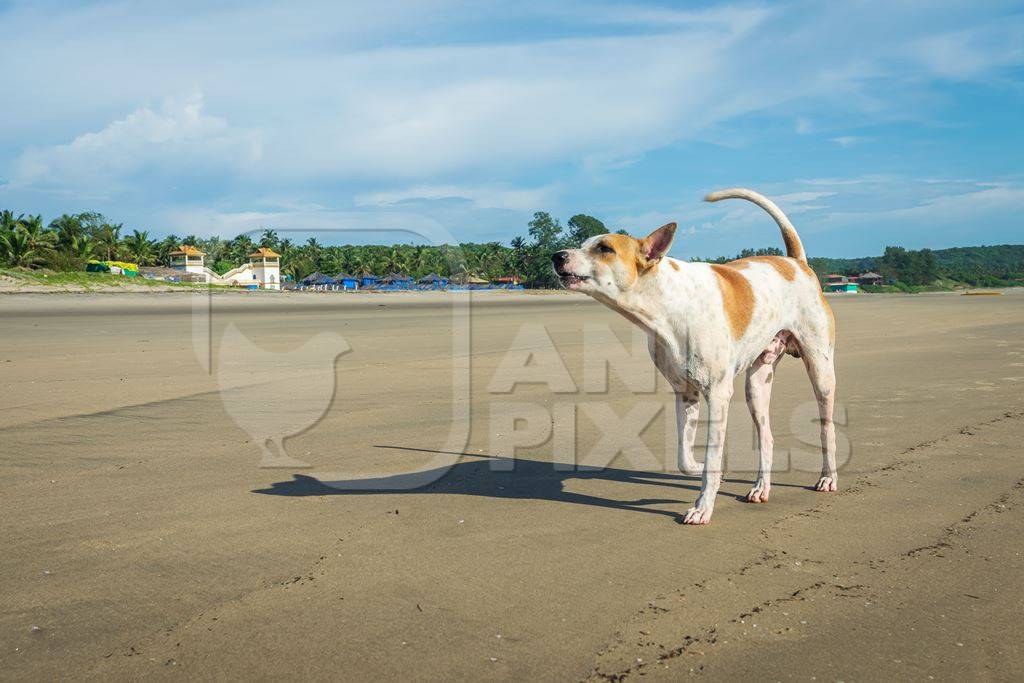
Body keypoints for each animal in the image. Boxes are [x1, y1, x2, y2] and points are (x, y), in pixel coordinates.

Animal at [557, 189, 835, 528]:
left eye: (604, 248)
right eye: (584, 243)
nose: (557, 256)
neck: (668, 302)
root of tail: (795, 262)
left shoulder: (717, 394)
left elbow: (712, 455)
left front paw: (703, 507)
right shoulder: (685, 393)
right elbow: (684, 457)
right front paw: (704, 469)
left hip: (820, 372)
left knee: (827, 428)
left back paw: (828, 477)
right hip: (757, 385)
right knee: (767, 437)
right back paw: (761, 487)